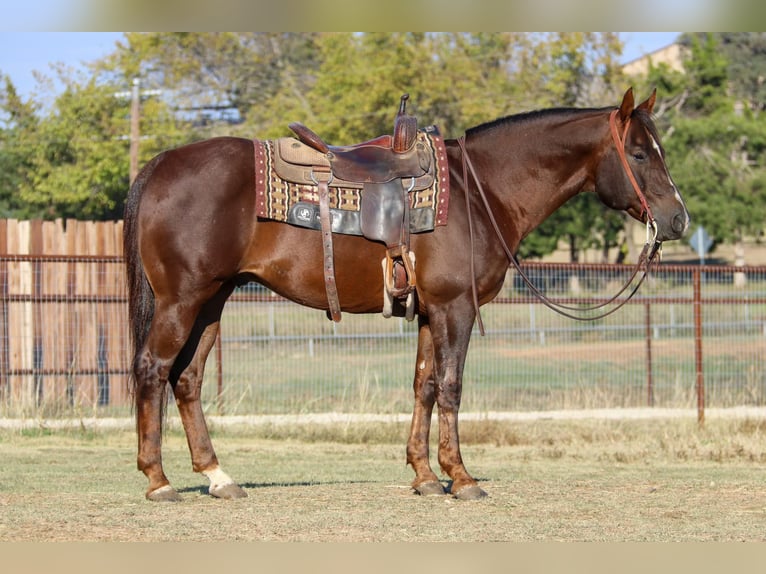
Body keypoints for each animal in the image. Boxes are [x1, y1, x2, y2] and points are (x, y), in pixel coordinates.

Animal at [124, 86, 688, 504]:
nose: (678, 220)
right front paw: (461, 477)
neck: (480, 190)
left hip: (212, 300)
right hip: (182, 300)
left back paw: (218, 477)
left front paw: (423, 475)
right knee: (153, 368)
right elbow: (452, 386)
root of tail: (160, 165)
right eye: (639, 153)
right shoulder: (456, 308)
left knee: (188, 379)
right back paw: (159, 480)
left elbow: (424, 385)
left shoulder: (429, 312)